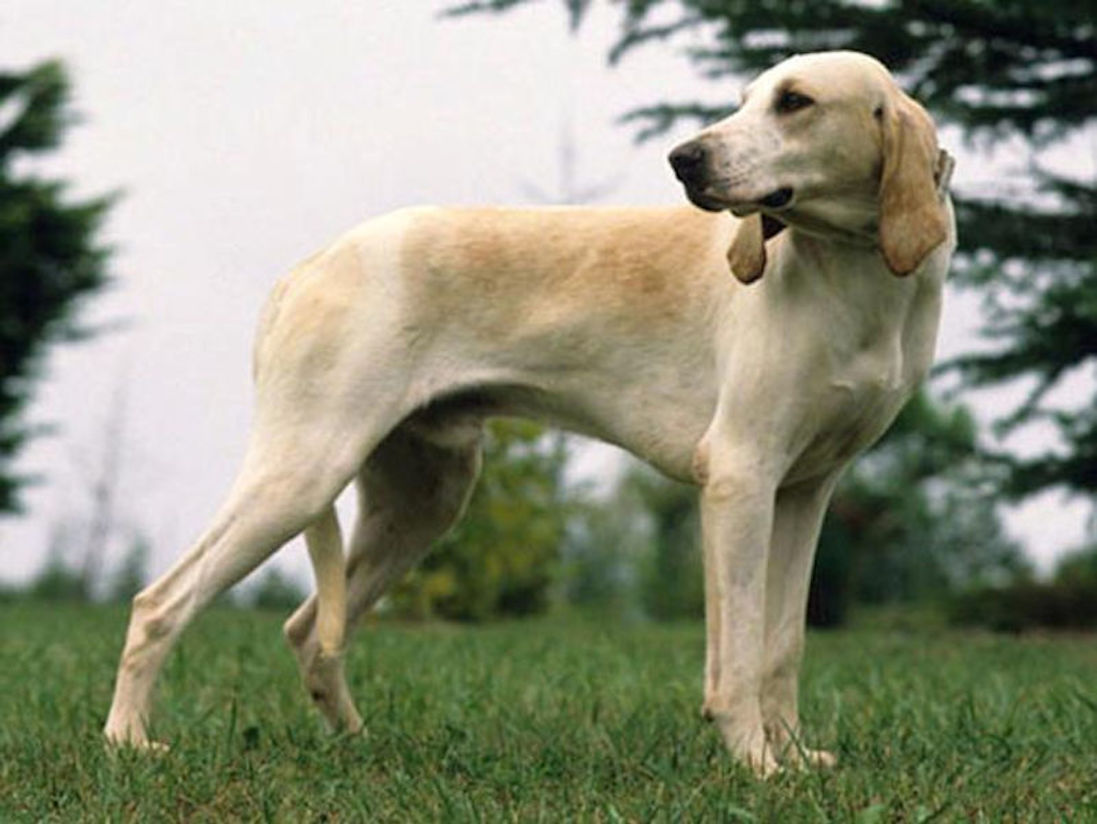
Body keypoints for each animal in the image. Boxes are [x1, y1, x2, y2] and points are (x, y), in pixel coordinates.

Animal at [106, 53, 956, 781]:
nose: (684, 160)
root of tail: (309, 266)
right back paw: (129, 743)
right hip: (301, 475)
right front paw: (755, 764)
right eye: (748, 98)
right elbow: (739, 655)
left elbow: (782, 647)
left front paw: (794, 757)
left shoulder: (803, 493)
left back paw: (355, 744)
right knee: (159, 604)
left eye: (794, 102)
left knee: (308, 629)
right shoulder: (738, 479)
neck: (855, 277)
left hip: (422, 499)